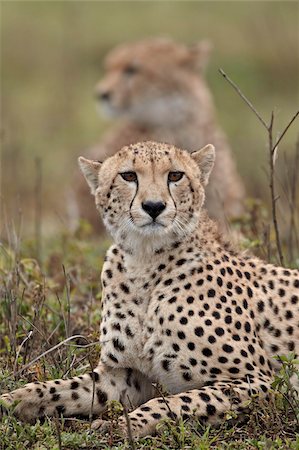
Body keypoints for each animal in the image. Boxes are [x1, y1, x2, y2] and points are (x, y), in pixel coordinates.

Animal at [1, 142, 298, 440]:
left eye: (176, 175)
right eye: (128, 176)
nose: (154, 206)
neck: (145, 262)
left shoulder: (260, 382)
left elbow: (174, 402)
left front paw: (123, 425)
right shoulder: (123, 375)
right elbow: (60, 388)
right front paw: (11, 399)